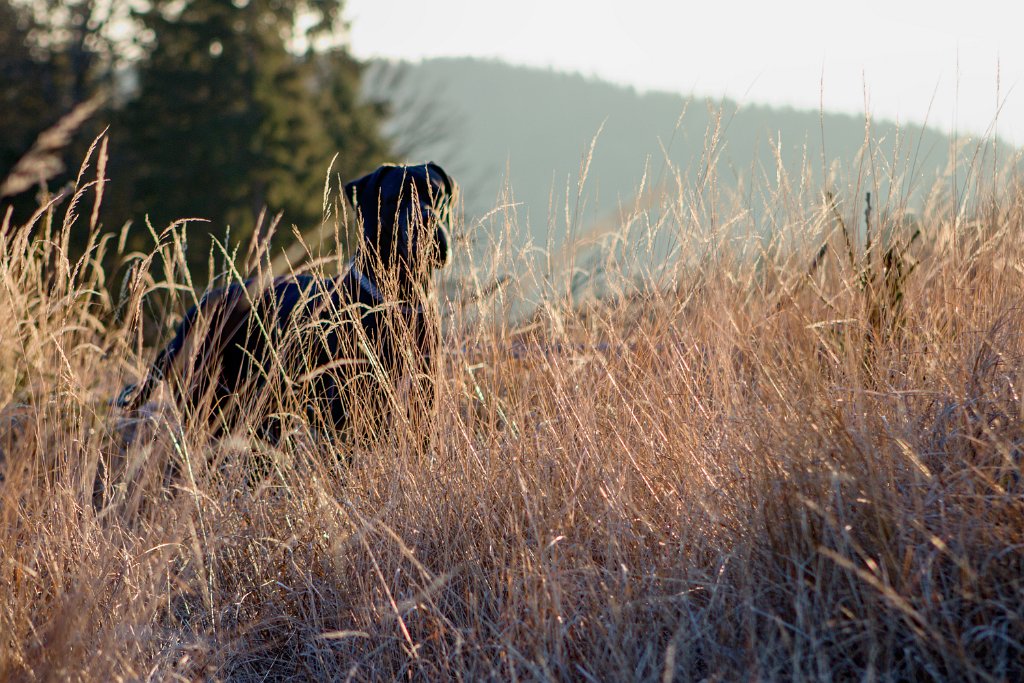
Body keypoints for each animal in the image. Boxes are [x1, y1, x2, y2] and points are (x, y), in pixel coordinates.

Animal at [116, 162, 456, 440]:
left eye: (439, 196)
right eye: (397, 197)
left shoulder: (422, 397)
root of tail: (190, 318)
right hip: (211, 405)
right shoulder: (343, 409)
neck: (398, 297)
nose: (429, 221)